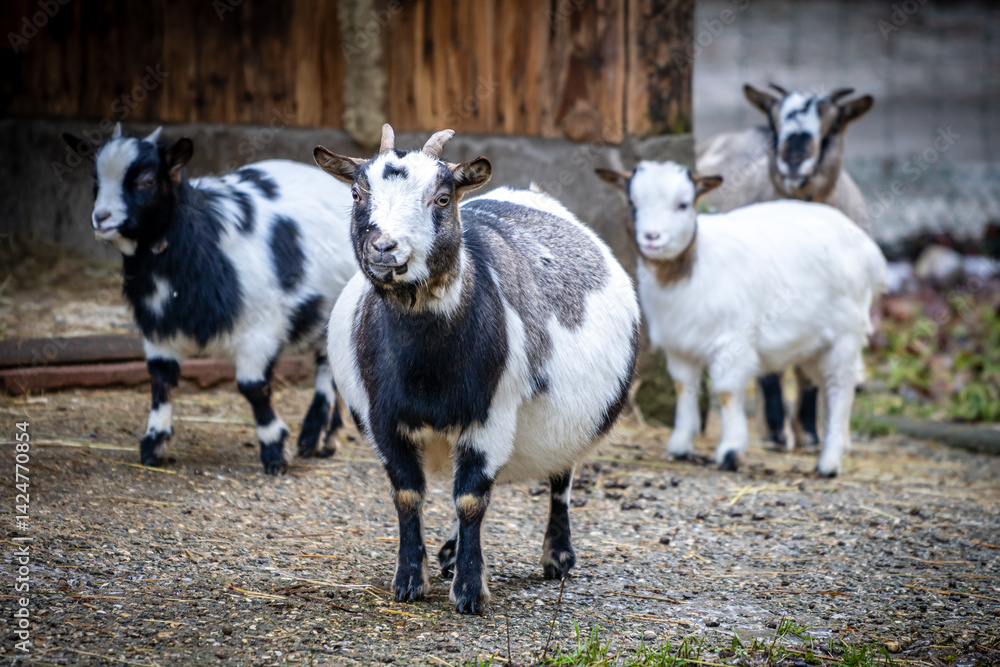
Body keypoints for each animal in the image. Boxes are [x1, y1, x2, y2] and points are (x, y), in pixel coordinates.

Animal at [62, 123, 357, 475]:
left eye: (147, 181)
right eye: (96, 180)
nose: (102, 218)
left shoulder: (259, 329)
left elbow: (253, 388)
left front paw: (274, 450)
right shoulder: (159, 329)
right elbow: (160, 381)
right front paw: (154, 444)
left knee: (327, 365)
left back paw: (315, 436)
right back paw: (322, 439)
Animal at [314, 125, 640, 614]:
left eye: (442, 197)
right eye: (356, 193)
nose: (384, 247)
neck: (426, 366)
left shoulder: (490, 418)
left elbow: (470, 499)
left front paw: (469, 591)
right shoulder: (383, 420)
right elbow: (408, 495)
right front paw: (410, 581)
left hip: (568, 424)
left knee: (560, 478)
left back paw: (557, 556)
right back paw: (449, 553)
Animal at [597, 161, 886, 477]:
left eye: (683, 204)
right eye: (632, 202)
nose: (652, 237)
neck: (690, 269)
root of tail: (870, 252)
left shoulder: (731, 339)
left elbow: (726, 392)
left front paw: (731, 451)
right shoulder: (679, 345)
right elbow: (683, 387)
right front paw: (680, 446)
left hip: (846, 332)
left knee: (841, 387)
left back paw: (829, 462)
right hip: (814, 344)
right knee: (827, 382)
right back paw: (842, 446)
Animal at [696, 84, 874, 449]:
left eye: (833, 128)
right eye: (775, 128)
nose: (793, 160)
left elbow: (807, 371)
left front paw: (808, 433)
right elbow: (770, 371)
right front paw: (779, 433)